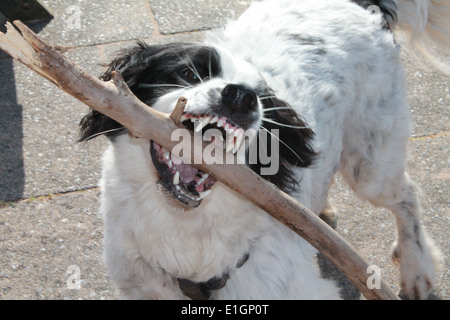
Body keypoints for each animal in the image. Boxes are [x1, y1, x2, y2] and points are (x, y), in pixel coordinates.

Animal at [80, 0, 446, 300]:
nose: (241, 96)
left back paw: (417, 268)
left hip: (371, 166)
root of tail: (361, 5)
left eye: (262, 99)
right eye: (186, 72)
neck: (185, 228)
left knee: (407, 194)